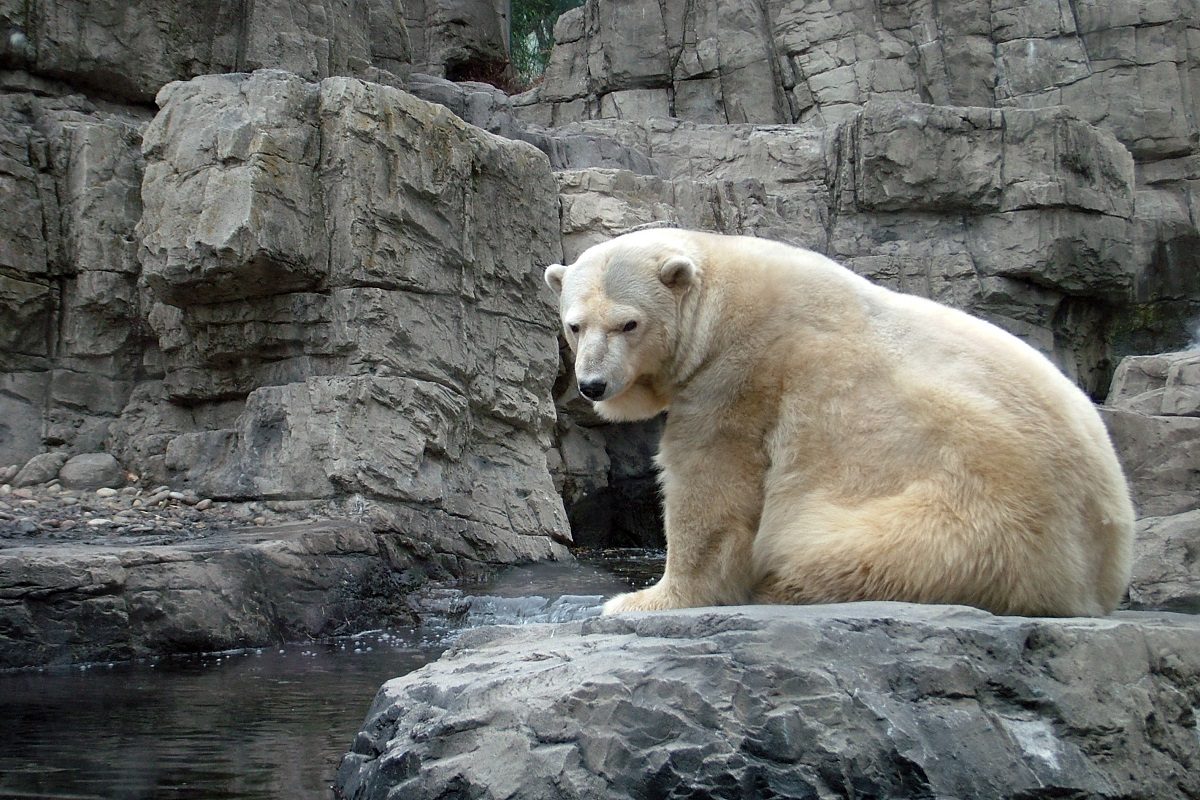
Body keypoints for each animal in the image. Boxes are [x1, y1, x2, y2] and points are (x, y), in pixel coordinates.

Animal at [544, 227, 1132, 618]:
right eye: (575, 325)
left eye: (628, 324)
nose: (592, 385)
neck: (723, 298)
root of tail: (1098, 577)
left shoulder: (743, 374)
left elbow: (711, 484)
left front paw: (642, 600)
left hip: (973, 518)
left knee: (846, 550)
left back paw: (780, 587)